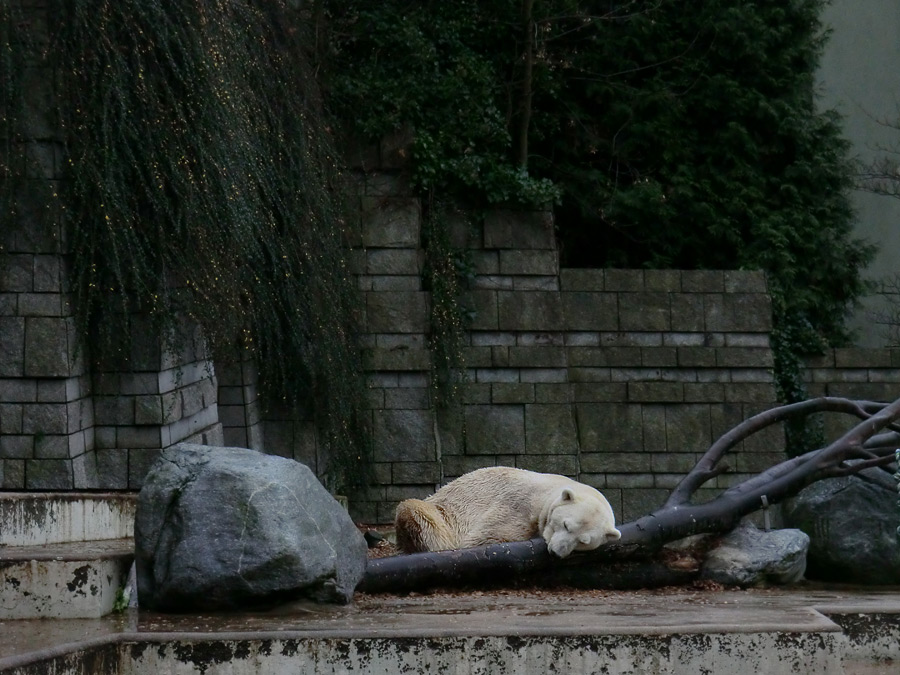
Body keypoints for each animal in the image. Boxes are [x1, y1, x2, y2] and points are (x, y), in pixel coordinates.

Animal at [394, 468, 620, 556]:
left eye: (583, 541)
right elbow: (486, 536)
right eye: (566, 524)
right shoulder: (518, 504)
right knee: (415, 511)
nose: (557, 551)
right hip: (442, 512)